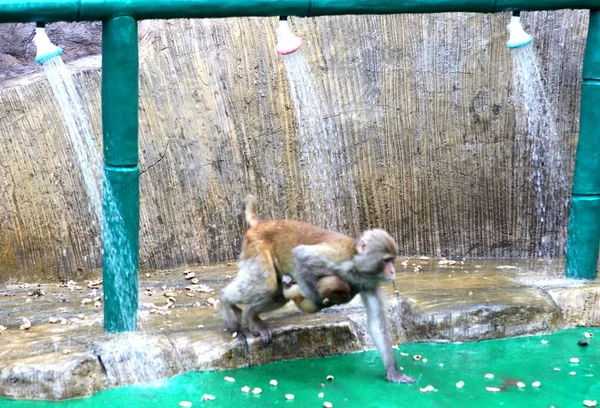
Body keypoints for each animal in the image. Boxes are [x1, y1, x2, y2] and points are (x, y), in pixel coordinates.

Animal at [218, 196, 414, 384]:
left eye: (393, 260)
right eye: (387, 260)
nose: (392, 271)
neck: (357, 263)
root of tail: (262, 223)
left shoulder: (369, 283)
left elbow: (376, 324)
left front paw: (393, 372)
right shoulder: (338, 258)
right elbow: (301, 255)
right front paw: (317, 300)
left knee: (277, 294)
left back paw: (251, 315)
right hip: (256, 247)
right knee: (265, 284)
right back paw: (225, 301)